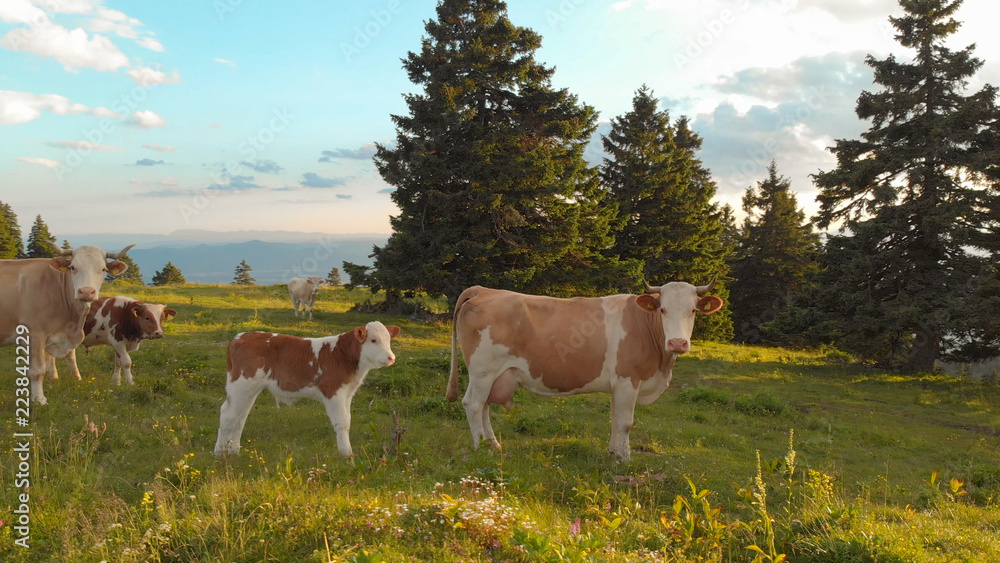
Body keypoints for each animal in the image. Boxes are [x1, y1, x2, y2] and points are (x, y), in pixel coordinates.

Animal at [0, 242, 133, 406]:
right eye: (73, 267)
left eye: (103, 269)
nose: (86, 292)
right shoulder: (34, 334)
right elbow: (37, 370)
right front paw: (39, 399)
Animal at [216, 322, 402, 458]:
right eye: (373, 340)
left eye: (388, 340)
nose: (391, 357)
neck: (341, 355)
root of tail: (240, 336)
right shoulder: (334, 392)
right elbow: (341, 422)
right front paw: (346, 454)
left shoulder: (348, 393)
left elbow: (348, 421)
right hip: (241, 385)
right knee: (227, 414)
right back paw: (219, 452)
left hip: (249, 390)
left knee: (240, 417)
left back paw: (234, 451)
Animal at [444, 284, 720, 460]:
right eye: (662, 309)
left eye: (693, 310)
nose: (677, 343)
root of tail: (483, 290)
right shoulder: (627, 380)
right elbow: (626, 422)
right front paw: (625, 458)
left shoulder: (618, 385)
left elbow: (615, 419)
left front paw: (613, 452)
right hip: (483, 371)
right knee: (474, 405)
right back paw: (481, 447)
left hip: (493, 375)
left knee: (484, 406)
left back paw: (493, 444)